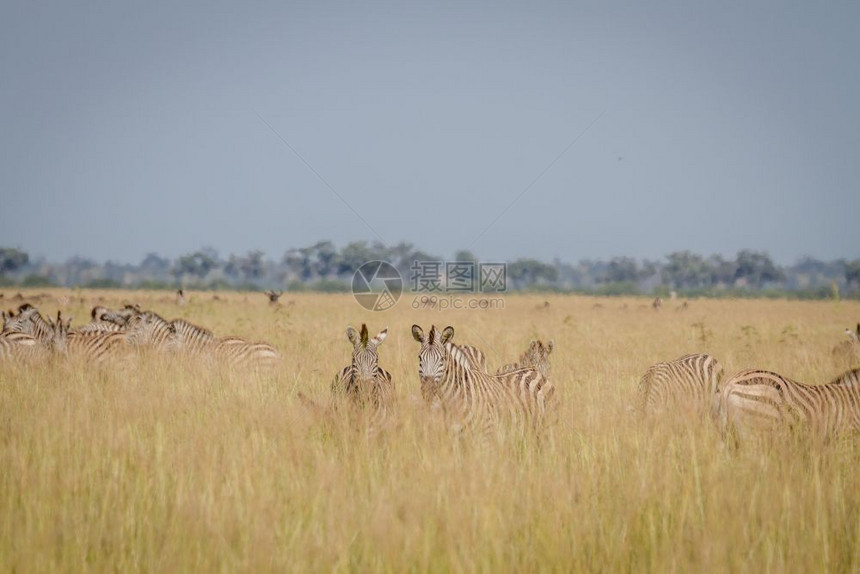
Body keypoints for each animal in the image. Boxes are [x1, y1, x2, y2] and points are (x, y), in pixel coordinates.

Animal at [412, 326, 556, 438]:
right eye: (419, 358)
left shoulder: (486, 432)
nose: (428, 389)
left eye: (442, 359)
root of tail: (533, 370)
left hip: (544, 426)